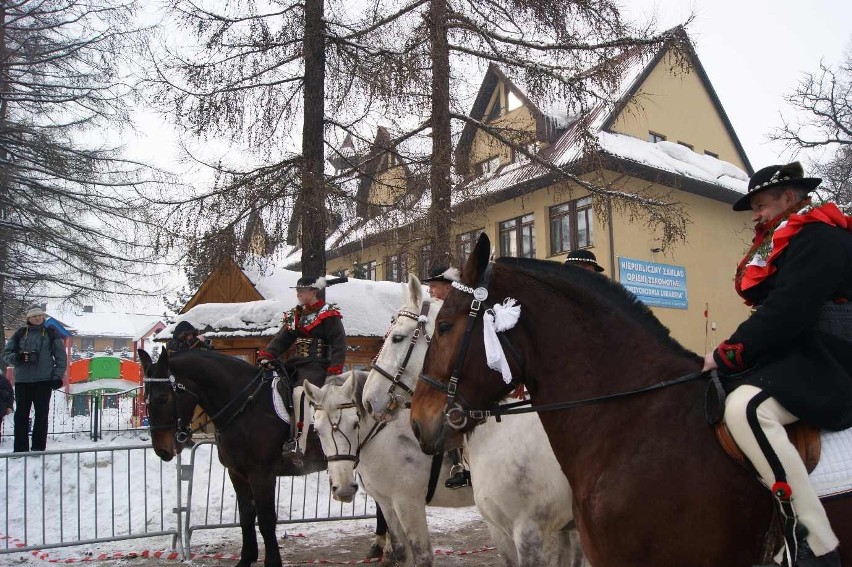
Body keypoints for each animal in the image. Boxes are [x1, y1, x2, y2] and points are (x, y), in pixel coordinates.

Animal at [140, 350, 326, 567]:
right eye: (145, 400)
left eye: (162, 398)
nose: (162, 450)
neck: (246, 406)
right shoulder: (237, 473)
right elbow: (246, 516)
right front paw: (246, 558)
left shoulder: (262, 475)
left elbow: (266, 519)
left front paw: (272, 562)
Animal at [304, 372, 480, 567]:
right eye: (317, 430)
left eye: (355, 424)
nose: (343, 489)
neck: (388, 439)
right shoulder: (387, 503)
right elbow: (400, 550)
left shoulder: (408, 504)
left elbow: (423, 556)